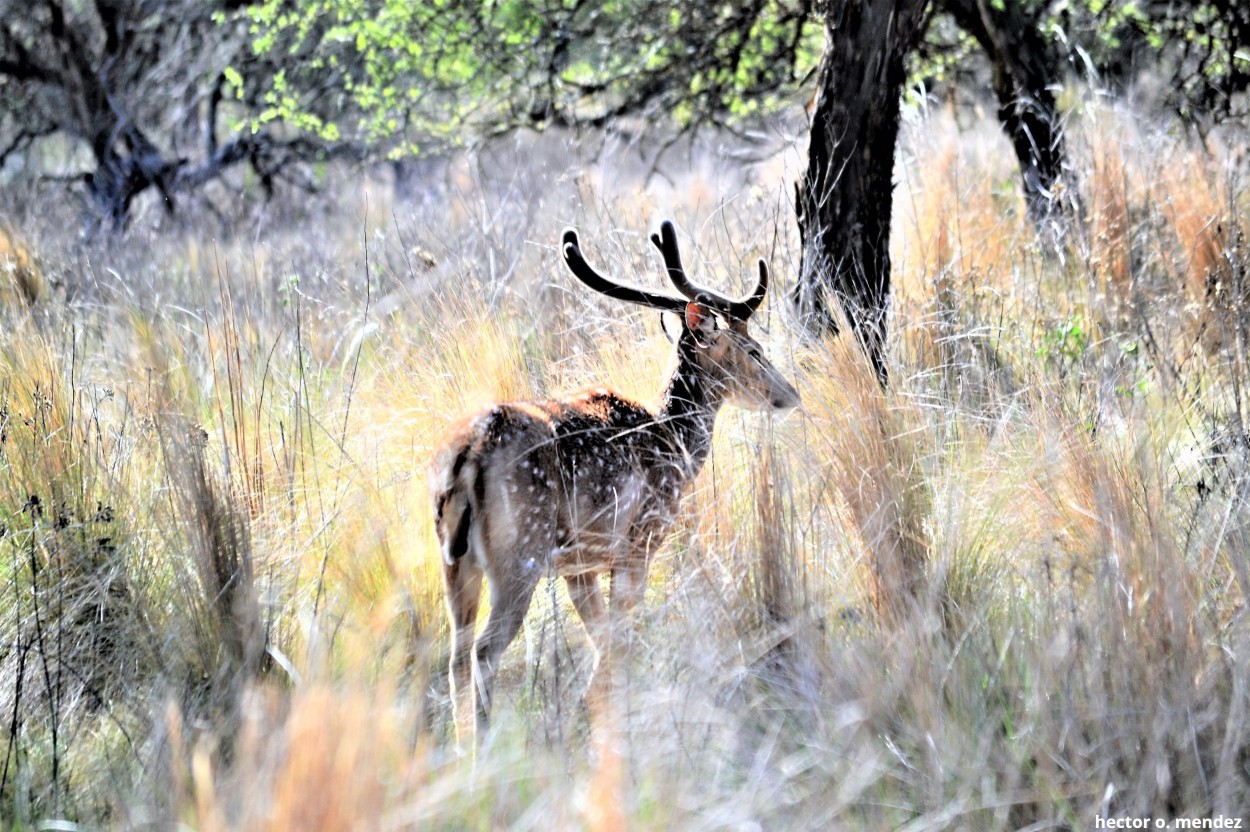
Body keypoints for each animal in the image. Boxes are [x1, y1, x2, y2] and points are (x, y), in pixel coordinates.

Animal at [430, 217, 800, 739]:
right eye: (754, 349)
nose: (790, 393)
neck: (674, 443)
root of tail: (466, 456)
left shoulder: (579, 565)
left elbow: (602, 638)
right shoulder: (640, 538)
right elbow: (619, 643)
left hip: (453, 563)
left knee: (456, 657)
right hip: (519, 554)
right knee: (484, 652)